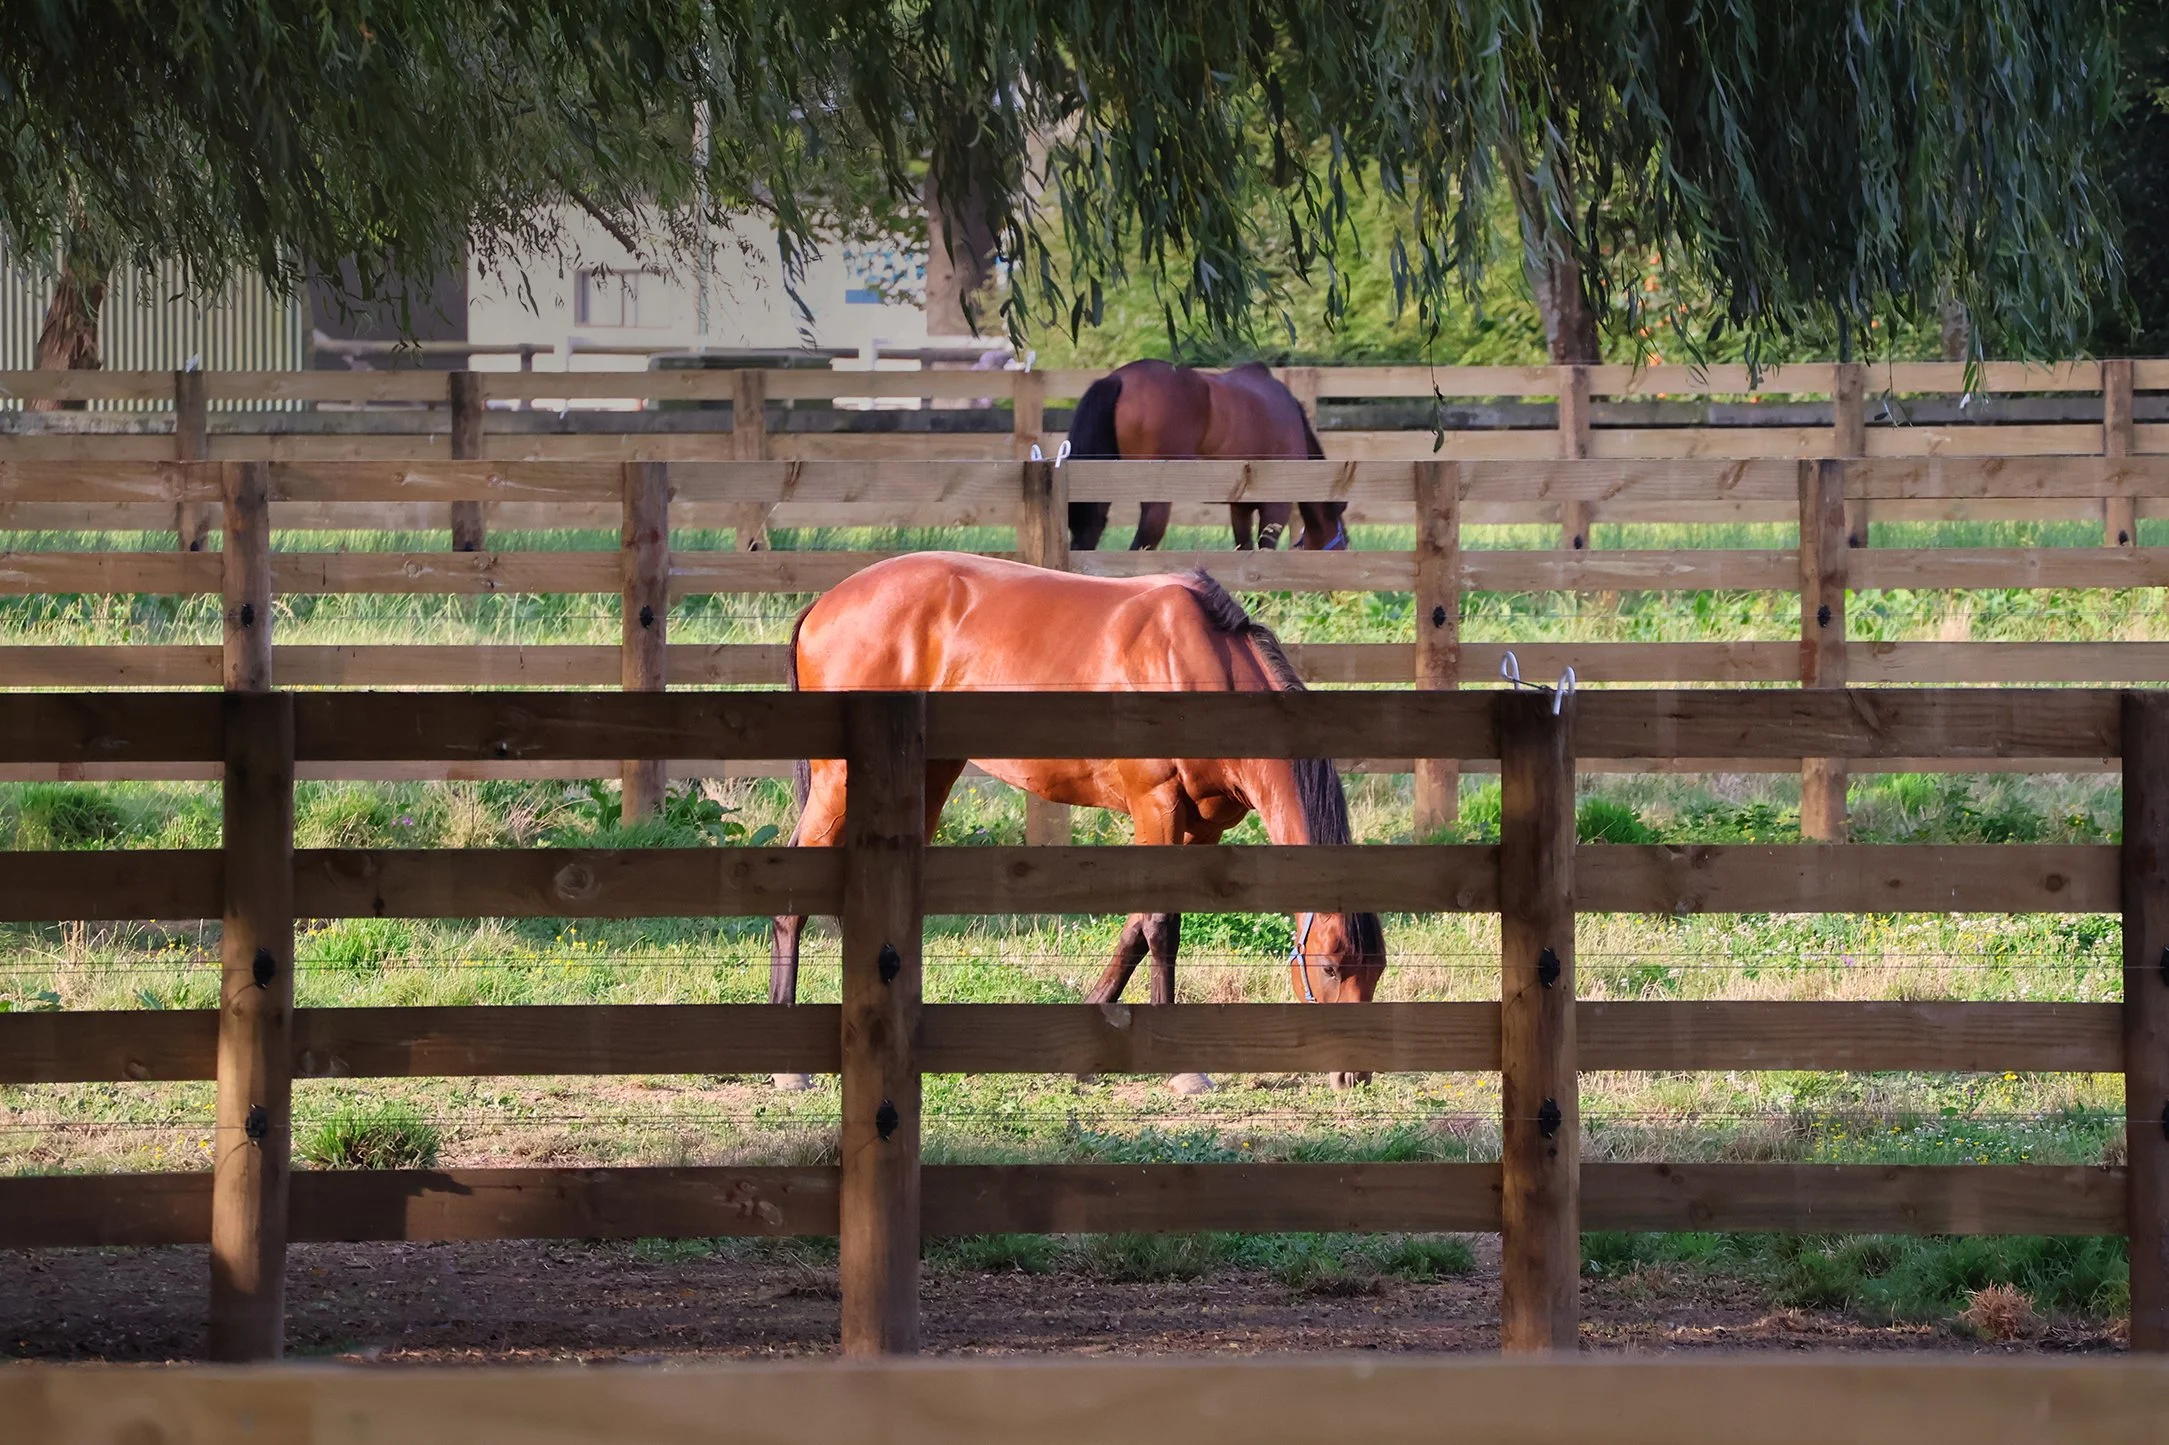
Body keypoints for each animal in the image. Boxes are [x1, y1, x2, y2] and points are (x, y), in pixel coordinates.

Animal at [768, 551, 1387, 1094]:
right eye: (1332, 967)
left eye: (1375, 970)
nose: (1354, 1075)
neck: (1201, 664)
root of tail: (826, 603)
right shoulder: (1157, 806)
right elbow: (1160, 926)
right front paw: (1183, 1069)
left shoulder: (1200, 829)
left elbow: (1138, 927)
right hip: (838, 782)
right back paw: (788, 1067)